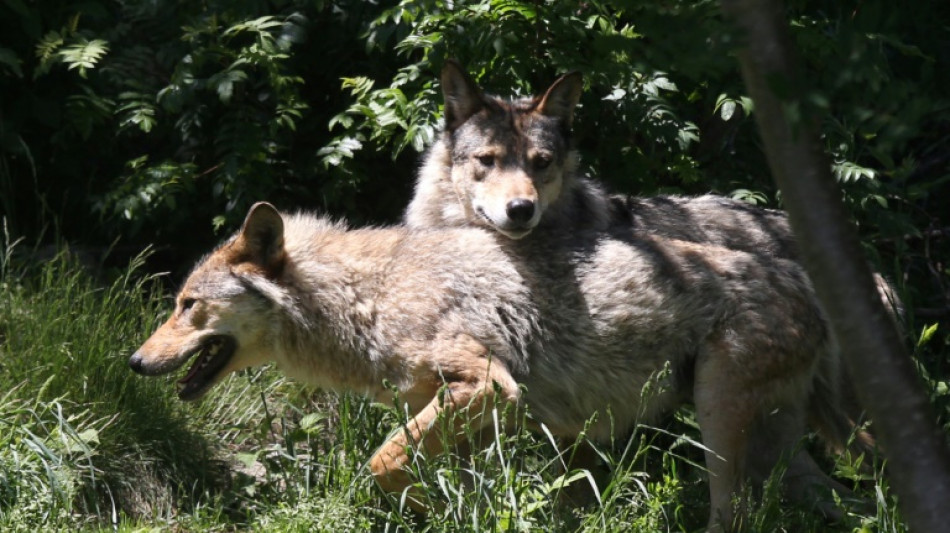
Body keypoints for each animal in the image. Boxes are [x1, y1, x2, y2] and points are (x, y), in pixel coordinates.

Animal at [131, 202, 859, 530]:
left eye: (187, 304)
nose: (135, 361)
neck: (372, 295)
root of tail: (806, 280)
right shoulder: (486, 418)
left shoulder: (489, 387)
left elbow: (380, 463)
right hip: (778, 449)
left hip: (722, 438)